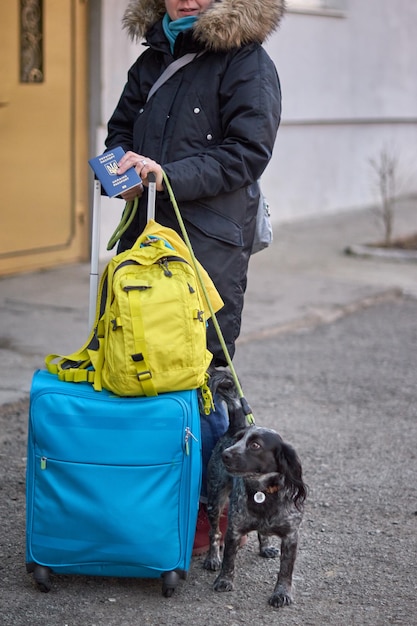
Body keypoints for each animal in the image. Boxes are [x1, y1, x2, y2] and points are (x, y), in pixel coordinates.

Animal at [202, 368, 306, 608]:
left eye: (255, 445)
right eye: (238, 441)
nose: (226, 454)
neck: (263, 491)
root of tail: (236, 424)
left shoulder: (291, 535)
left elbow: (285, 570)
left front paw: (282, 593)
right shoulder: (234, 528)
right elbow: (228, 558)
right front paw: (224, 580)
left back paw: (265, 546)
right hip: (214, 499)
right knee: (214, 532)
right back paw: (212, 557)